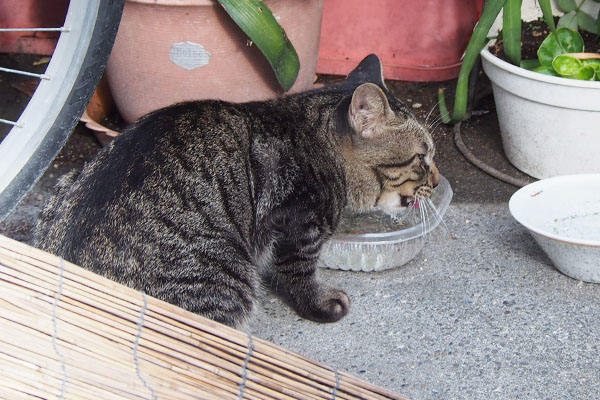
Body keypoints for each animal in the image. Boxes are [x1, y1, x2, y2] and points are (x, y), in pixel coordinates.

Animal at [36, 54, 440, 328]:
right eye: (422, 157)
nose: (436, 182)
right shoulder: (299, 227)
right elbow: (300, 276)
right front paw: (321, 305)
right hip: (223, 282)